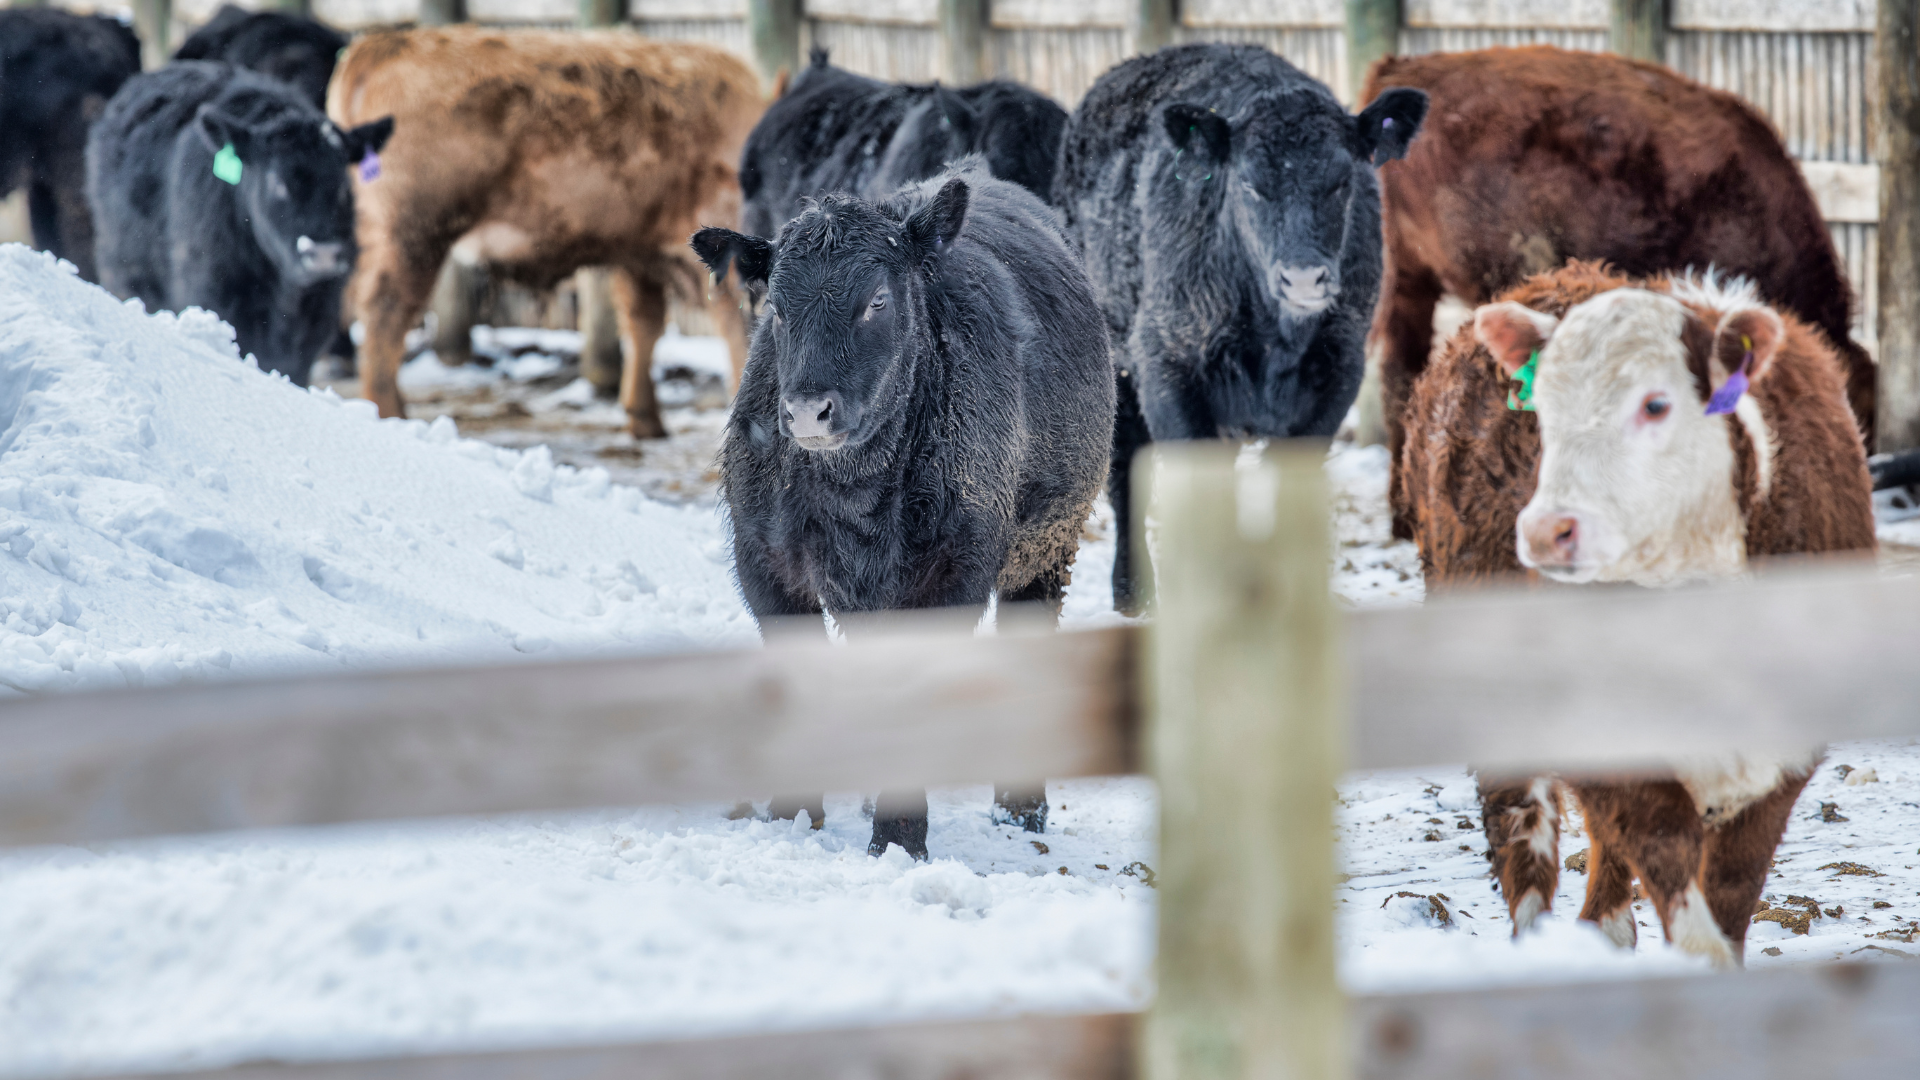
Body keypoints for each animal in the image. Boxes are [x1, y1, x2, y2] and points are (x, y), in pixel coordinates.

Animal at [328, 27, 762, 437]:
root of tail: (384, 44)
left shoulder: (638, 253)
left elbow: (644, 324)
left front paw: (645, 420)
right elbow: (736, 329)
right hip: (415, 238)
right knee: (385, 313)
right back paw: (389, 415)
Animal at [692, 161, 1113, 859]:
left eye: (878, 302)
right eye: (775, 308)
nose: (807, 411)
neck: (857, 499)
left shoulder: (952, 570)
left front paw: (896, 843)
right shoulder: (766, 563)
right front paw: (791, 817)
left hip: (1048, 549)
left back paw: (1020, 813)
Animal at [1054, 43, 1428, 612]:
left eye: (1342, 182)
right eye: (1250, 185)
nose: (1303, 277)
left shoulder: (1336, 376)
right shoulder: (1169, 369)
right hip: (1116, 366)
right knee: (1125, 473)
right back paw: (1132, 591)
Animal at [1401, 260, 1875, 966]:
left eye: (1656, 404)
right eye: (1543, 410)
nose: (1544, 531)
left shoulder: (1788, 751)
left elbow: (1732, 891)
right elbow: (1671, 867)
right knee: (1522, 822)